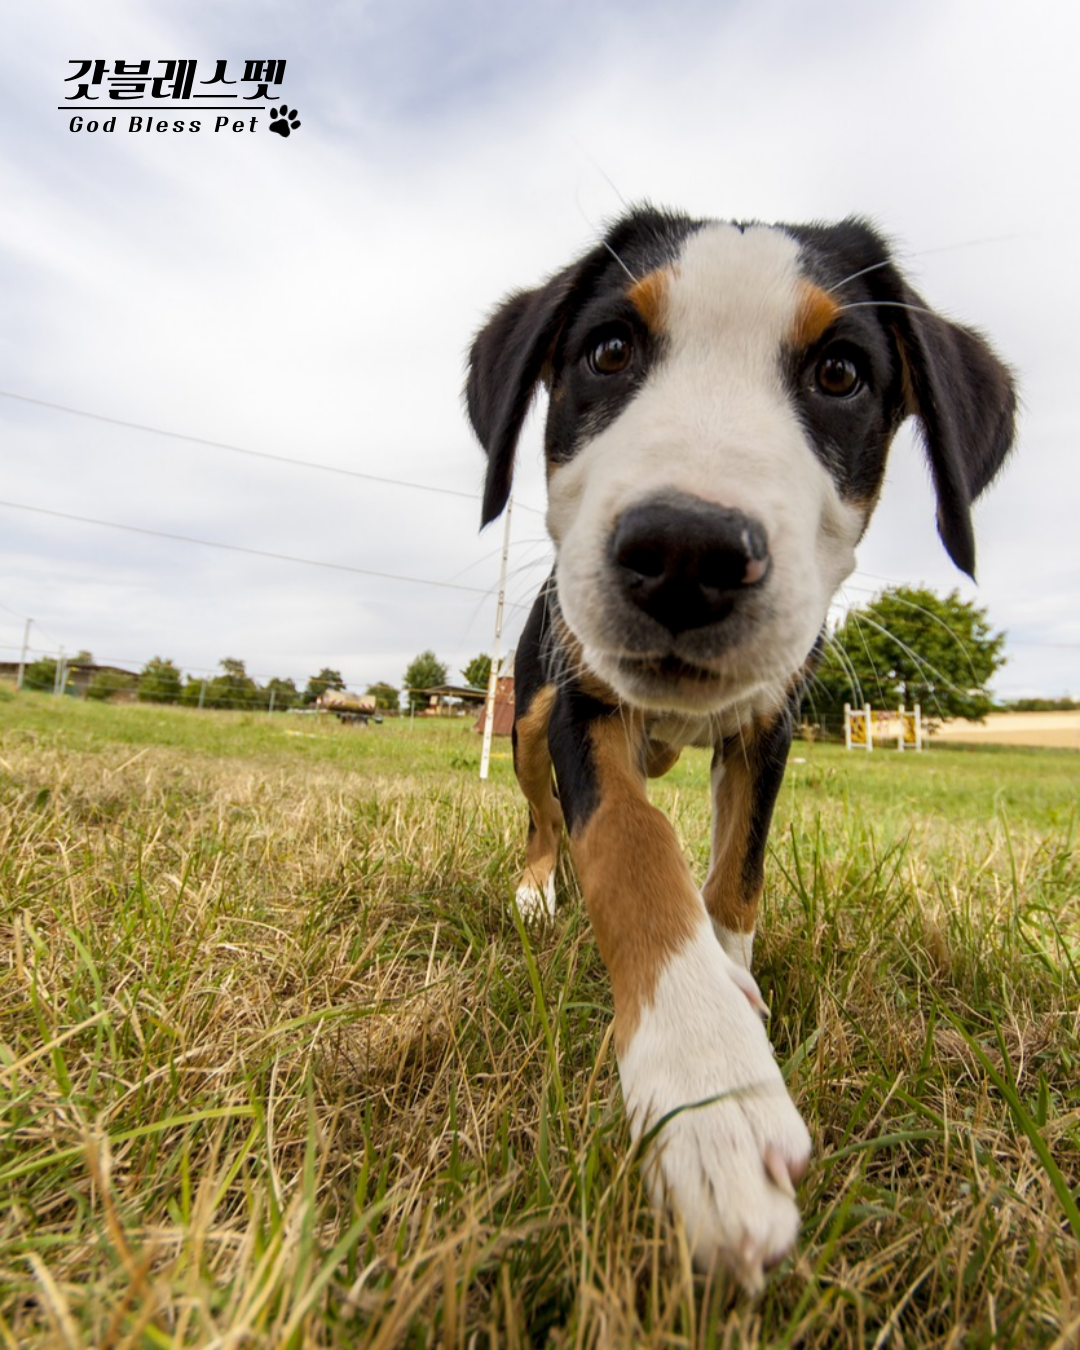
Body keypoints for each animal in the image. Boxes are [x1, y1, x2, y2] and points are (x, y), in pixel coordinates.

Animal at [461, 207, 1015, 1285]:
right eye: (609, 350)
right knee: (542, 814)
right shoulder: (586, 709)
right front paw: (706, 1089)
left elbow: (736, 876)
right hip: (532, 709)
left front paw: (727, 981)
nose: (686, 551)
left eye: (841, 373)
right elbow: (634, 847)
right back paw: (537, 891)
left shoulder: (772, 725)